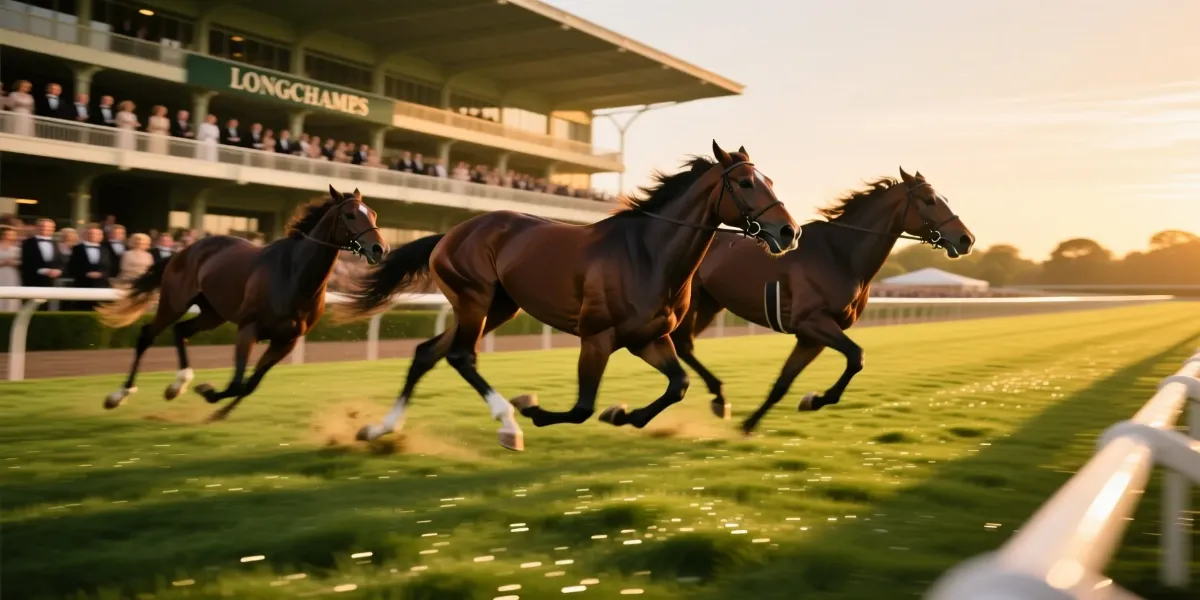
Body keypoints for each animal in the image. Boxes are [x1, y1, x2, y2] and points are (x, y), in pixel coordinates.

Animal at [95, 185, 388, 422]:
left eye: (373, 213)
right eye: (350, 214)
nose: (379, 249)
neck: (294, 276)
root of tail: (183, 251)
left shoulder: (287, 340)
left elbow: (250, 384)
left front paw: (218, 409)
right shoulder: (249, 328)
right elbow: (238, 381)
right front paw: (209, 392)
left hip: (213, 313)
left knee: (181, 331)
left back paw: (177, 385)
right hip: (174, 302)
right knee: (147, 335)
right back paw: (118, 395)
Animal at [339, 141, 801, 451]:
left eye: (770, 180)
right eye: (745, 182)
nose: (788, 231)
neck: (648, 255)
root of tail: (449, 234)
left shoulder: (648, 338)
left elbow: (679, 385)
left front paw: (625, 415)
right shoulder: (597, 337)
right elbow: (581, 407)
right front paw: (534, 409)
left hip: (498, 307)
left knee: (427, 353)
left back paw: (379, 429)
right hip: (475, 300)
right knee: (460, 355)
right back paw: (508, 424)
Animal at [669, 168, 975, 436]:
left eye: (945, 199)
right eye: (930, 200)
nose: (966, 239)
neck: (841, 254)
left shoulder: (810, 337)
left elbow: (783, 383)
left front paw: (750, 424)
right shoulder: (812, 321)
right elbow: (856, 357)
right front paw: (813, 400)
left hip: (708, 305)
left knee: (684, 345)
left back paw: (717, 399)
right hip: (692, 304)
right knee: (680, 342)